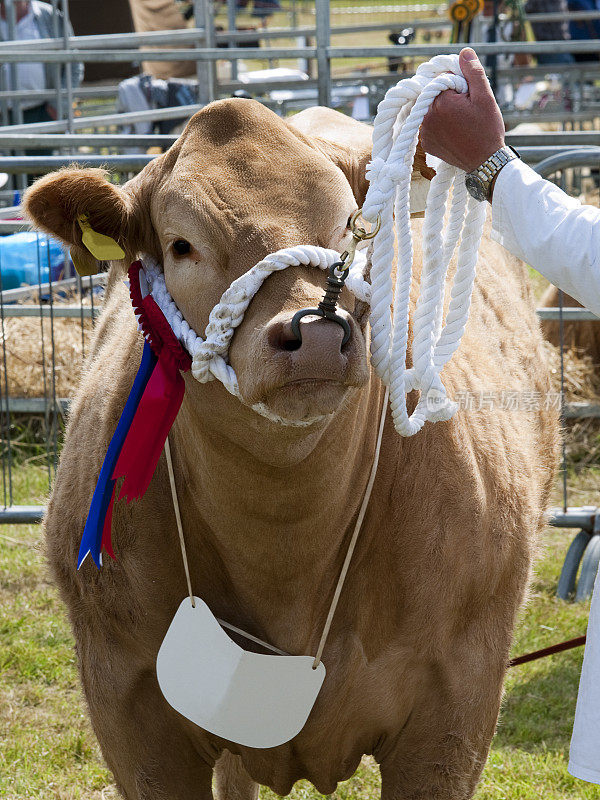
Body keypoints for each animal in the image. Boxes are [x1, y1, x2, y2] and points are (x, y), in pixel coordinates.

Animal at [22, 100, 556, 800]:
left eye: (352, 225)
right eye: (182, 244)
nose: (318, 333)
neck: (284, 547)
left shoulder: (457, 704)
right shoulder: (129, 708)